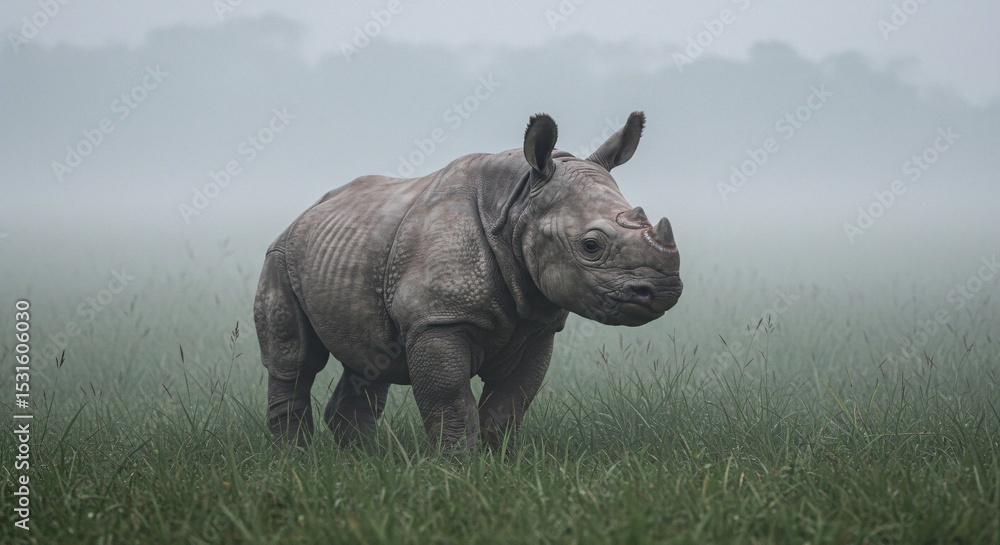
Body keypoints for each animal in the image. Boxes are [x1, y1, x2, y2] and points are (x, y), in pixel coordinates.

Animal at [254, 111, 682, 450]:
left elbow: (511, 402)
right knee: (295, 362)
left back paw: (361, 460)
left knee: (368, 360)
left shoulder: (537, 325)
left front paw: (496, 463)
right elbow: (451, 402)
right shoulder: (438, 319)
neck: (518, 206)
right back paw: (296, 459)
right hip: (280, 257)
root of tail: (305, 212)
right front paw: (456, 467)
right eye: (591, 246)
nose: (662, 291)